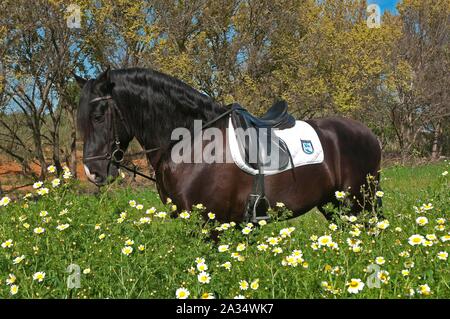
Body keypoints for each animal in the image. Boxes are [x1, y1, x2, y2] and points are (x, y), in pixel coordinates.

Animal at [75, 67, 382, 222]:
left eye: (98, 116)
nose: (93, 173)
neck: (192, 143)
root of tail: (368, 133)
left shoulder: (212, 224)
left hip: (359, 204)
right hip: (335, 205)